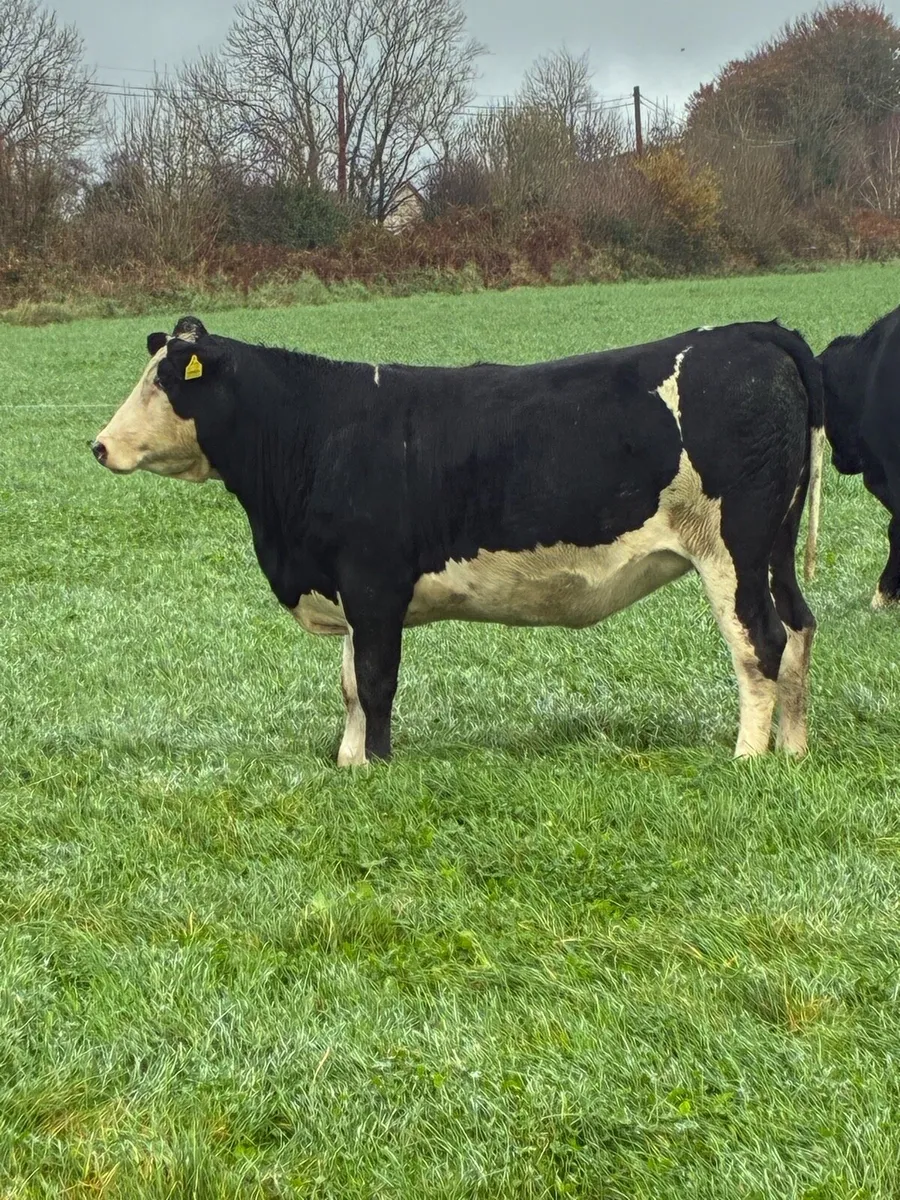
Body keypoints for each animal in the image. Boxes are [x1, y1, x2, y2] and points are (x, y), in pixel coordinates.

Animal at [91, 315, 824, 765]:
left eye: (164, 381)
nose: (99, 445)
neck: (316, 431)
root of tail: (755, 334)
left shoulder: (374, 583)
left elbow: (376, 681)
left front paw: (375, 765)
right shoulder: (351, 590)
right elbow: (350, 685)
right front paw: (347, 762)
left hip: (734, 548)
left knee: (759, 642)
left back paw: (748, 757)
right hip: (775, 550)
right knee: (798, 628)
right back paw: (792, 751)